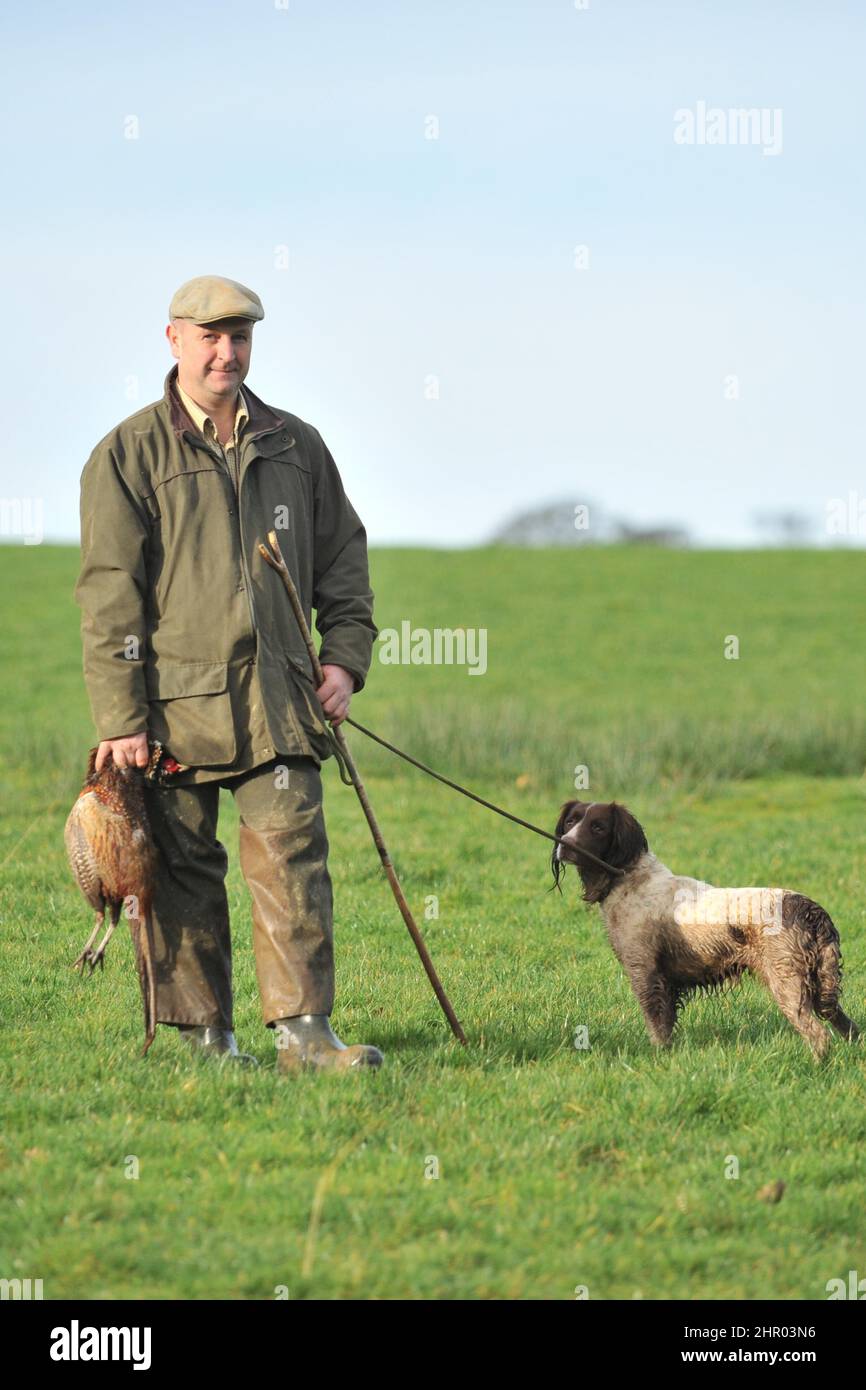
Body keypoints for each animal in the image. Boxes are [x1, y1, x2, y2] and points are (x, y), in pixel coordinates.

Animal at [556, 800, 861, 1056]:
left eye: (598, 826)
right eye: (570, 821)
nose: (564, 843)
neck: (627, 876)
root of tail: (811, 910)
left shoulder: (644, 972)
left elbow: (657, 1029)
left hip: (787, 983)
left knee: (819, 1035)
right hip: (822, 987)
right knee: (849, 1028)